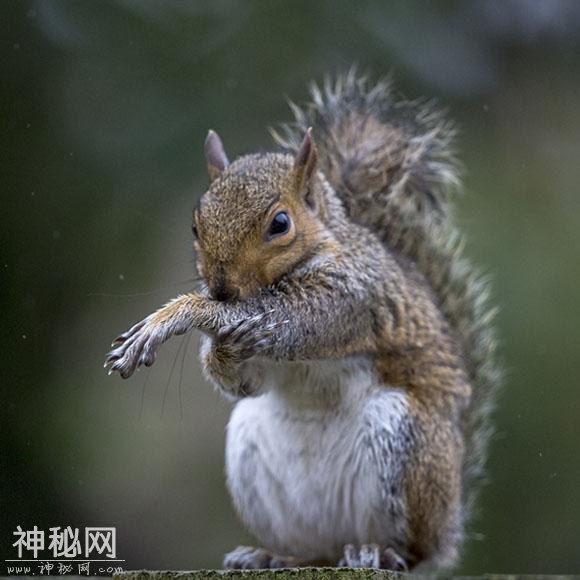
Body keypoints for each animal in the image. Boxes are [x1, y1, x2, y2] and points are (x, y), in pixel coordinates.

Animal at [103, 71, 498, 572]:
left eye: (280, 223)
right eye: (195, 225)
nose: (221, 288)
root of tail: (448, 529)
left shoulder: (353, 295)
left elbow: (302, 318)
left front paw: (178, 315)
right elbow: (246, 382)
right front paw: (221, 349)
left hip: (406, 445)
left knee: (411, 551)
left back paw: (381, 552)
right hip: (252, 451)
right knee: (314, 551)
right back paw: (273, 556)